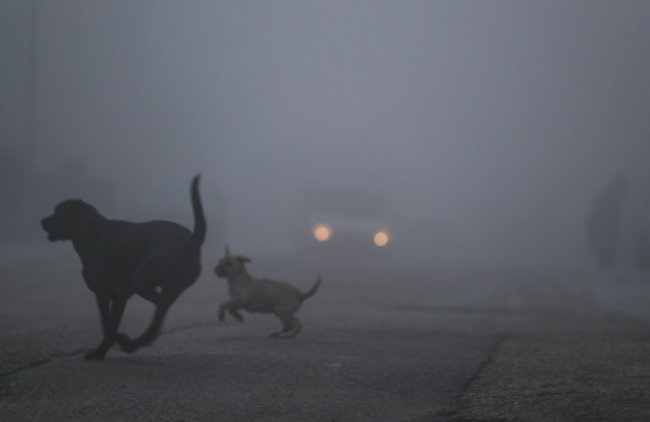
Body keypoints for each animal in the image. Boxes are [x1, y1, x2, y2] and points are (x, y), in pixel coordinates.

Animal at [39, 175, 205, 360]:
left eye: (57, 211)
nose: (42, 221)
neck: (92, 231)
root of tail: (192, 243)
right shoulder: (119, 297)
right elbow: (112, 323)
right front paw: (105, 349)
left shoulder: (102, 293)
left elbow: (107, 326)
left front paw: (104, 349)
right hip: (167, 287)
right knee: (161, 311)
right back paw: (138, 342)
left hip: (142, 280)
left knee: (161, 307)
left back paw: (135, 342)